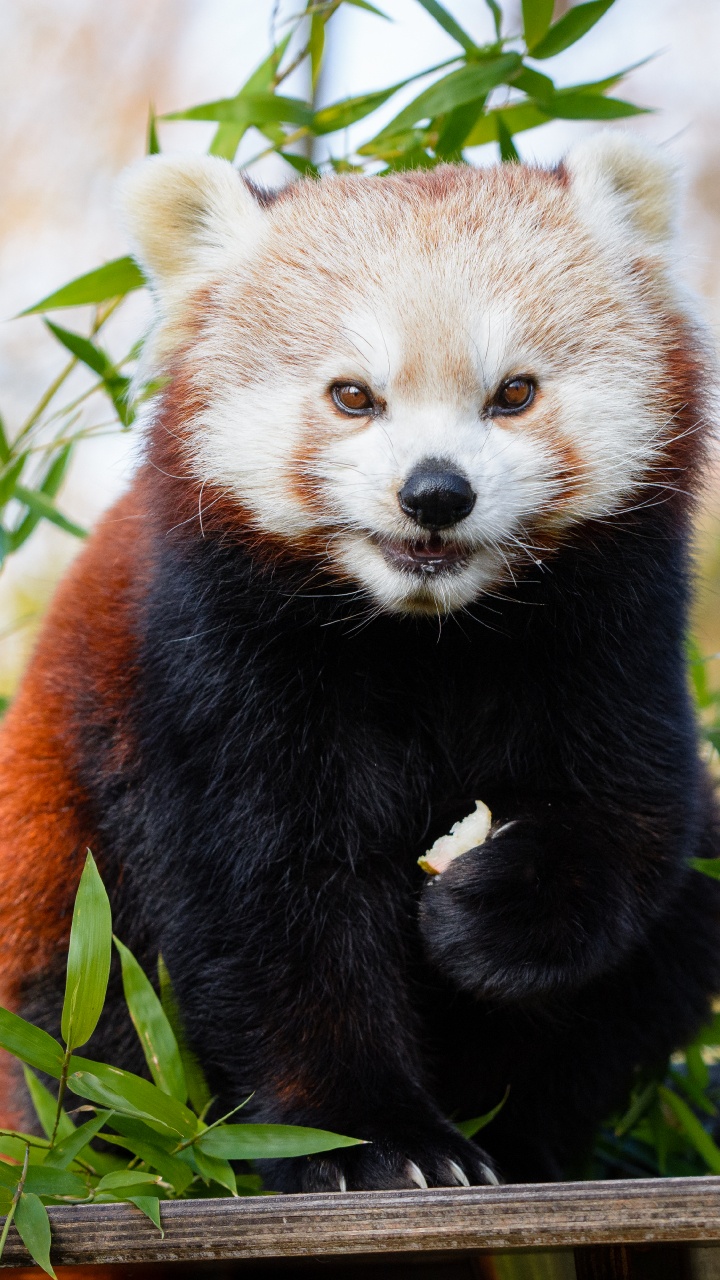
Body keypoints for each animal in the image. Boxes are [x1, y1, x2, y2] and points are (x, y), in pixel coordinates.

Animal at [0, 133, 719, 1192]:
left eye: (513, 393)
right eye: (353, 397)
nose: (435, 493)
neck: (426, 635)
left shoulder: (611, 632)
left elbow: (630, 818)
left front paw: (480, 912)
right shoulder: (211, 664)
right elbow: (266, 907)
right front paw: (372, 1139)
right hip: (56, 885)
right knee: (82, 1020)